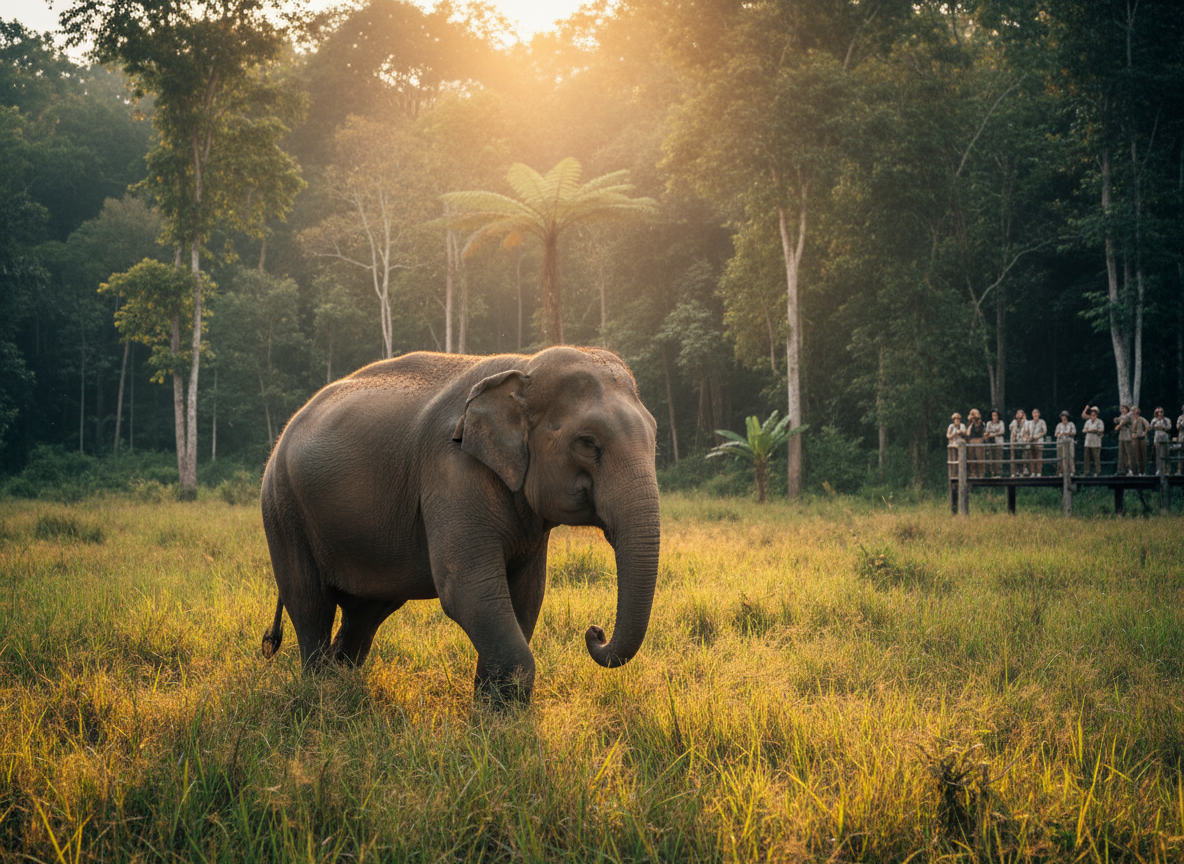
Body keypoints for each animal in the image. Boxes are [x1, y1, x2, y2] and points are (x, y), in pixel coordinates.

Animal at [259, 346, 660, 703]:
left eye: (655, 435)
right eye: (587, 443)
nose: (595, 631)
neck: (523, 366)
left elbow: (527, 595)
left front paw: (494, 714)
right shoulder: (450, 470)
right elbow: (469, 590)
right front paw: (502, 721)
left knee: (365, 613)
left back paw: (341, 684)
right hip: (282, 510)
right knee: (310, 603)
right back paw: (318, 691)